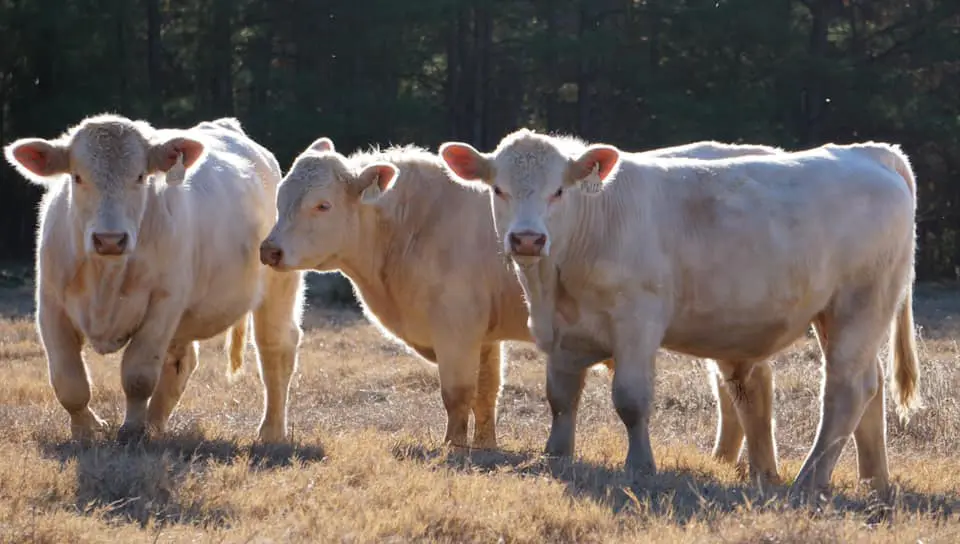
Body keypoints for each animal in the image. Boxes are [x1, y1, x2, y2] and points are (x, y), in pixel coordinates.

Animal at [3, 113, 304, 442]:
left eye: (139, 177)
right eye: (77, 177)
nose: (110, 239)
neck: (106, 277)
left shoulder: (164, 304)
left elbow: (139, 376)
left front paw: (132, 429)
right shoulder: (50, 305)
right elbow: (68, 381)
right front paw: (86, 430)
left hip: (279, 284)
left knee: (276, 347)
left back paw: (271, 431)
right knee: (180, 362)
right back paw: (156, 425)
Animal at [260, 137, 780, 454]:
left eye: (322, 205)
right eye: (280, 198)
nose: (270, 249)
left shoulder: (456, 325)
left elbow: (458, 392)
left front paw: (454, 449)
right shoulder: (484, 334)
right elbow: (488, 390)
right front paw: (487, 446)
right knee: (736, 388)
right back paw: (725, 458)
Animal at [438, 129, 920, 498]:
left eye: (559, 190)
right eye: (498, 189)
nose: (527, 239)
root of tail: (868, 152)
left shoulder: (637, 322)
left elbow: (631, 399)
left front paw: (640, 465)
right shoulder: (563, 335)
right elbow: (560, 398)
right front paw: (557, 455)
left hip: (859, 304)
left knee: (846, 390)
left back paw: (810, 479)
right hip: (845, 316)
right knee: (871, 385)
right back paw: (874, 480)